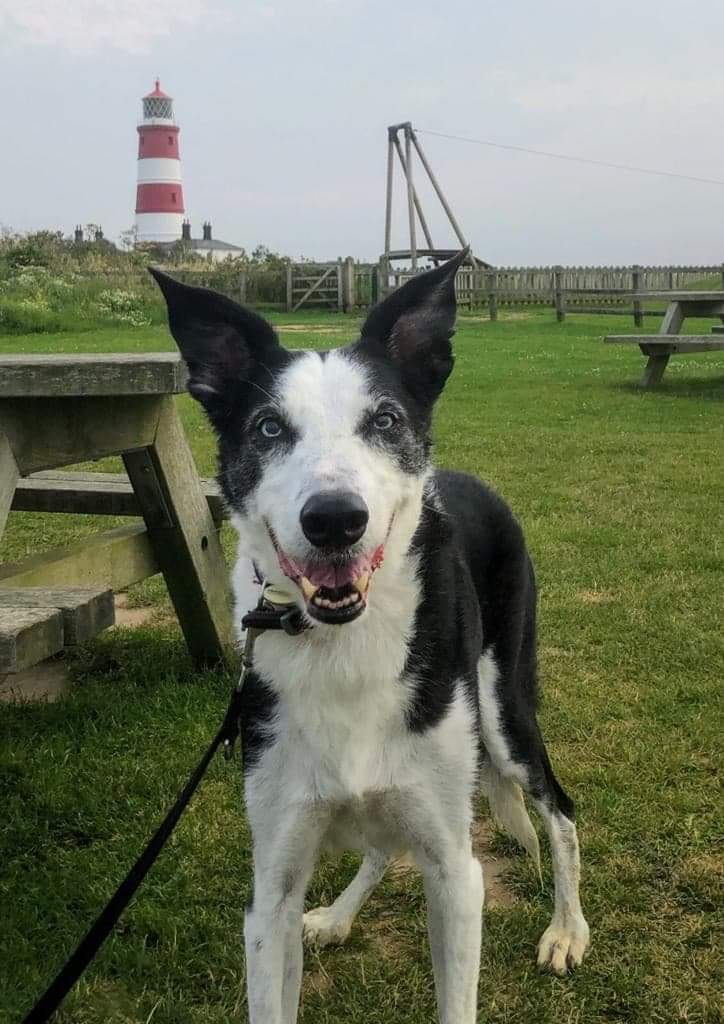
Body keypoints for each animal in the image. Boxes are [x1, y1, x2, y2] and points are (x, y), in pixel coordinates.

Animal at [151, 253, 589, 1024]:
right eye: (269, 428)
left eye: (384, 419)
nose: (334, 520)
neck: (346, 648)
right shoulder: (270, 891)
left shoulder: (456, 872)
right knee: (384, 846)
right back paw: (337, 916)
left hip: (503, 708)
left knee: (560, 812)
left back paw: (568, 930)